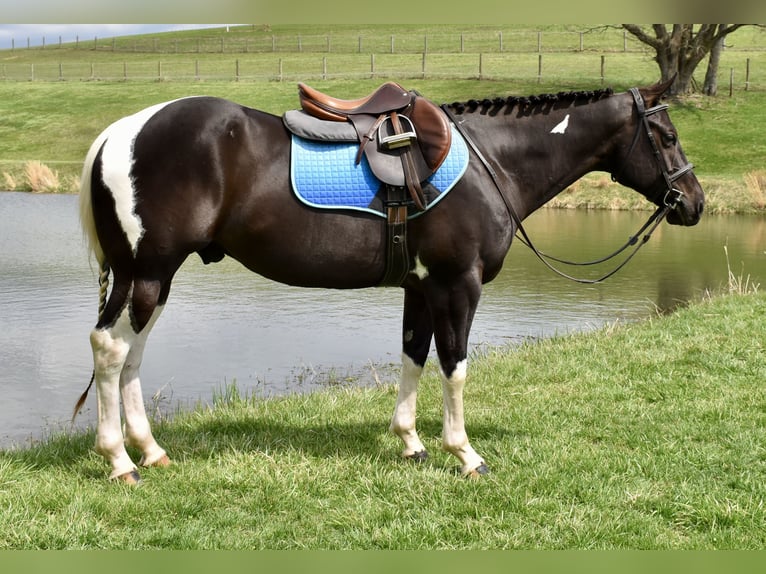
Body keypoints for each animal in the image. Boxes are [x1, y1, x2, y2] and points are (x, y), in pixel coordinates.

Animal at [76, 78, 703, 483]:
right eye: (669, 138)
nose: (695, 203)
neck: (491, 163)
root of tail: (119, 134)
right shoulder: (457, 285)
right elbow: (454, 366)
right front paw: (465, 454)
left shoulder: (421, 288)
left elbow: (413, 357)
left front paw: (410, 443)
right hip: (146, 272)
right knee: (110, 350)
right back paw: (120, 461)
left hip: (153, 280)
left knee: (131, 358)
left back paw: (150, 451)